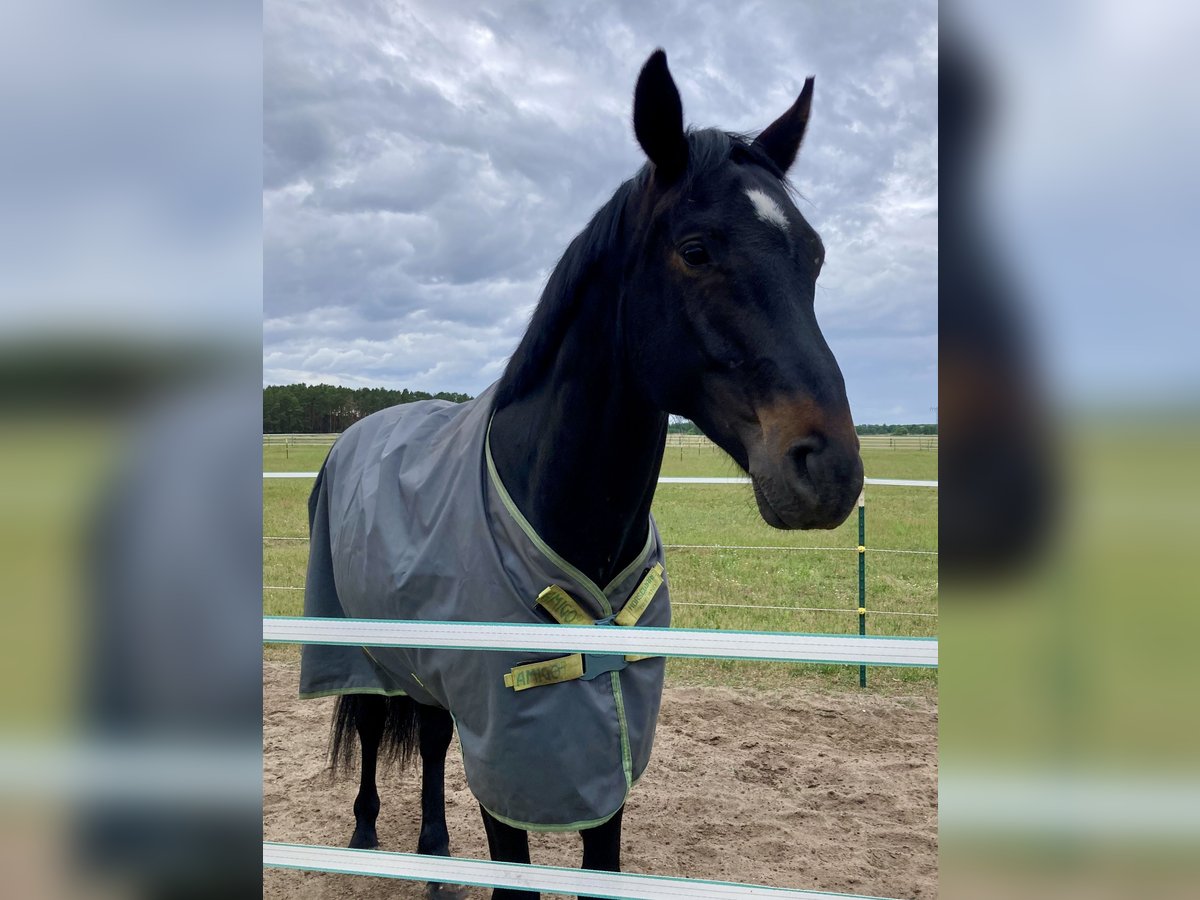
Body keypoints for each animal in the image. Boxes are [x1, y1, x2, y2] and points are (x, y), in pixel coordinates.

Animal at [302, 51, 864, 900]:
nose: (829, 468)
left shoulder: (604, 753)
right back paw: (367, 833)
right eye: (695, 249)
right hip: (362, 645)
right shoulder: (508, 757)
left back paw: (433, 854)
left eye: (817, 255)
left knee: (429, 738)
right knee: (372, 725)